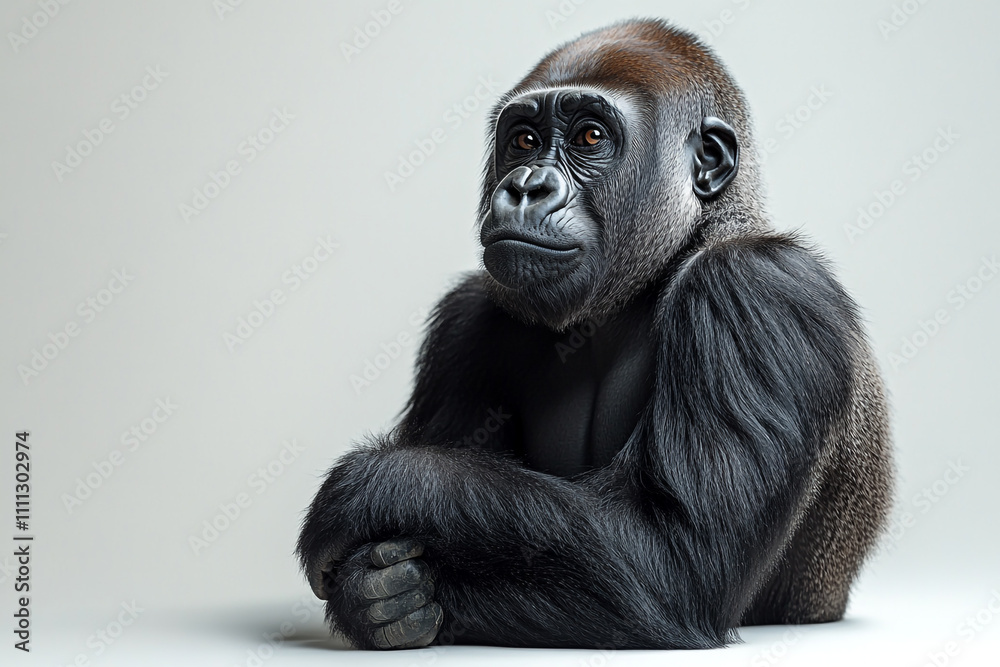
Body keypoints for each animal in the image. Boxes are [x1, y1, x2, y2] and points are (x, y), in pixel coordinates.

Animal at [297, 18, 893, 650]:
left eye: (589, 137)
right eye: (524, 141)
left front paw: (376, 489)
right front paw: (380, 596)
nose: (526, 187)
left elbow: (677, 563)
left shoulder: (757, 287)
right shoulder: (467, 319)